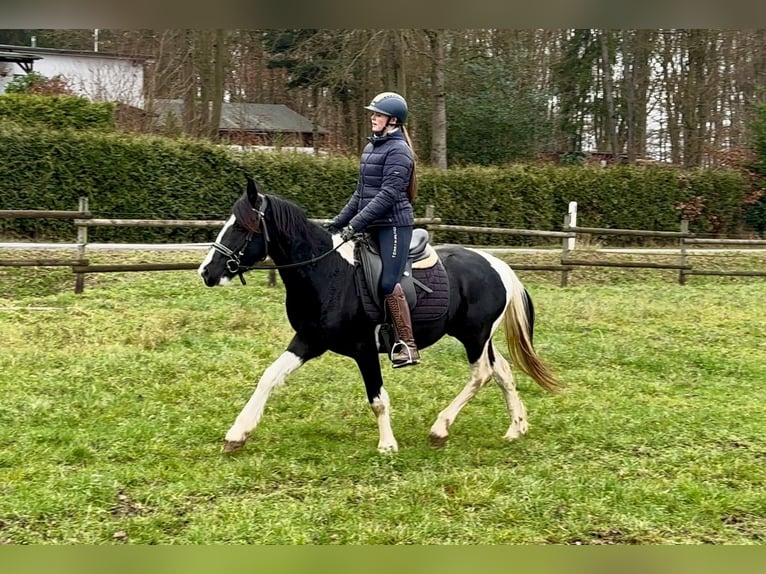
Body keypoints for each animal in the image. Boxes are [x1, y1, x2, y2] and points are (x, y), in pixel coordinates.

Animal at [196, 177, 560, 454]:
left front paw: (387, 445)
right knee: (503, 372)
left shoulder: (364, 348)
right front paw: (237, 434)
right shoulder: (309, 340)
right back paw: (516, 429)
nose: (207, 272)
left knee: (481, 375)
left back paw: (440, 428)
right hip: (479, 337)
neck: (328, 273)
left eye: (243, 227)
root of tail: (497, 264)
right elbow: (269, 377)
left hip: (474, 336)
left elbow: (378, 398)